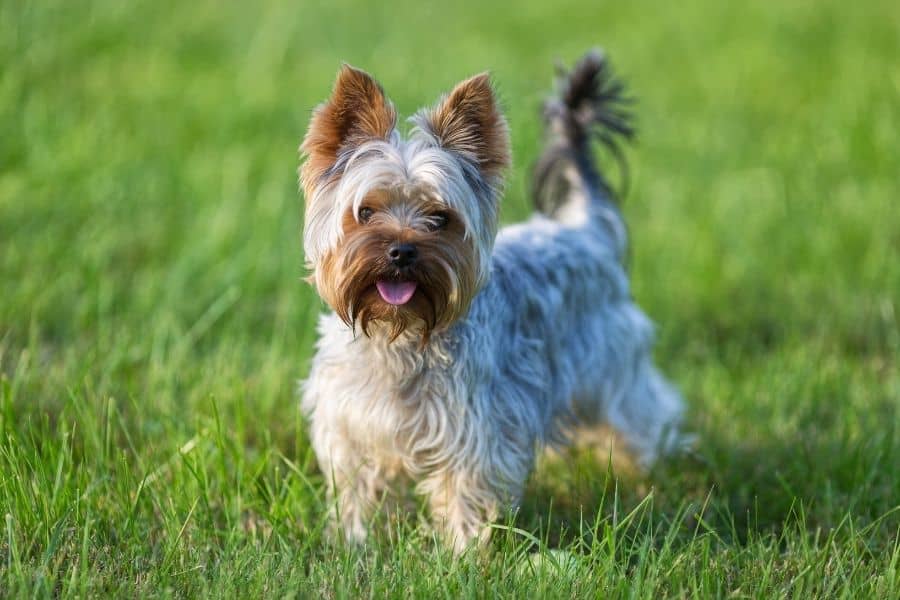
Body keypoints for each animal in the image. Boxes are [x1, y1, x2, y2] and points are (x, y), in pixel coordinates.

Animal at [298, 50, 684, 552]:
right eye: (364, 211)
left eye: (439, 217)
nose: (401, 251)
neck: (398, 331)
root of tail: (586, 229)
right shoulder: (352, 423)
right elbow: (358, 487)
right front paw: (354, 542)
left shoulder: (473, 427)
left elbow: (464, 489)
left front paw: (462, 554)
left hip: (613, 366)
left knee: (643, 414)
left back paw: (649, 472)